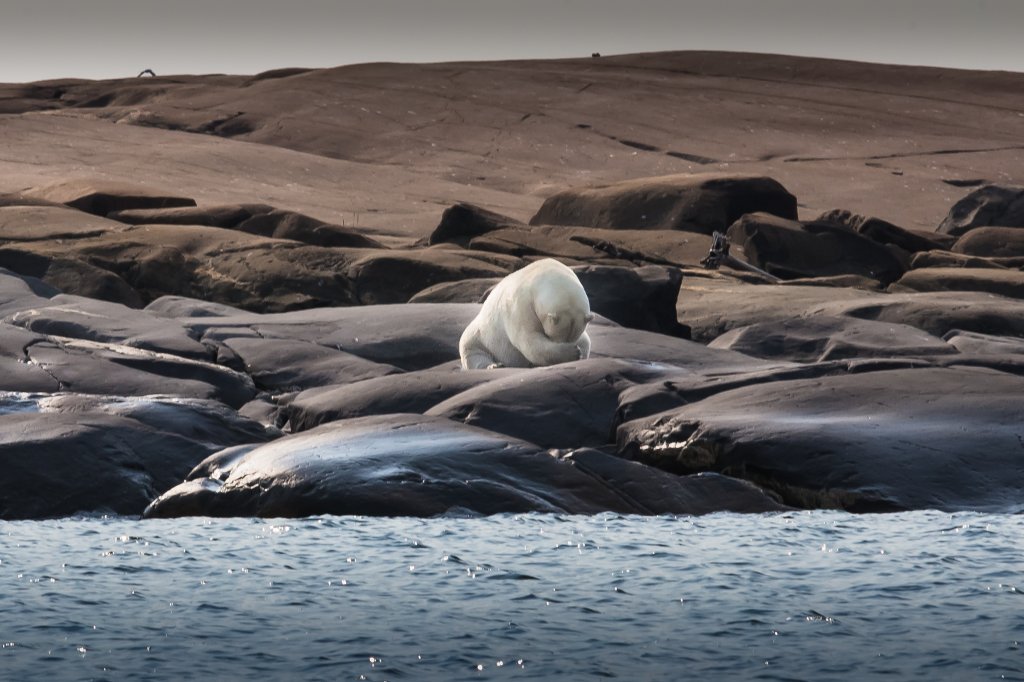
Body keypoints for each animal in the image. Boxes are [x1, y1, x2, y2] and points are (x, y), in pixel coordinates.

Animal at [458, 258, 593, 368]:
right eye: (551, 336)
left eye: (572, 338)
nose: (565, 345)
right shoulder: (521, 305)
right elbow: (529, 340)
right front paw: (573, 352)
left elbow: (585, 341)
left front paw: (578, 350)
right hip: (480, 337)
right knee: (473, 353)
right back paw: (495, 365)